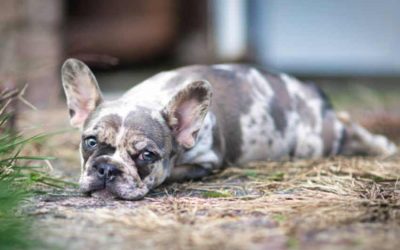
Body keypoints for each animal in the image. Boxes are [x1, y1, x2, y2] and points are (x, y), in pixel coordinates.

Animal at [61, 58, 396, 199]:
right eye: (90, 142)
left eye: (146, 156)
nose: (107, 169)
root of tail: (312, 93)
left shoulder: (206, 161)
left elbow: (172, 173)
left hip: (314, 142)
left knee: (346, 125)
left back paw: (382, 146)